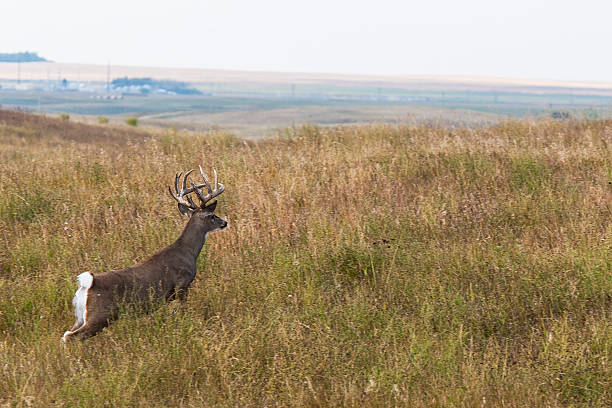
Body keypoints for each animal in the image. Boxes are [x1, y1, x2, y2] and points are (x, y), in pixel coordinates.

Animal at [62, 166, 227, 342]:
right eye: (212, 216)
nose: (224, 222)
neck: (188, 252)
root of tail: (87, 285)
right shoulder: (182, 286)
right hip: (100, 316)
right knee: (72, 337)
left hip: (80, 317)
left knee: (66, 334)